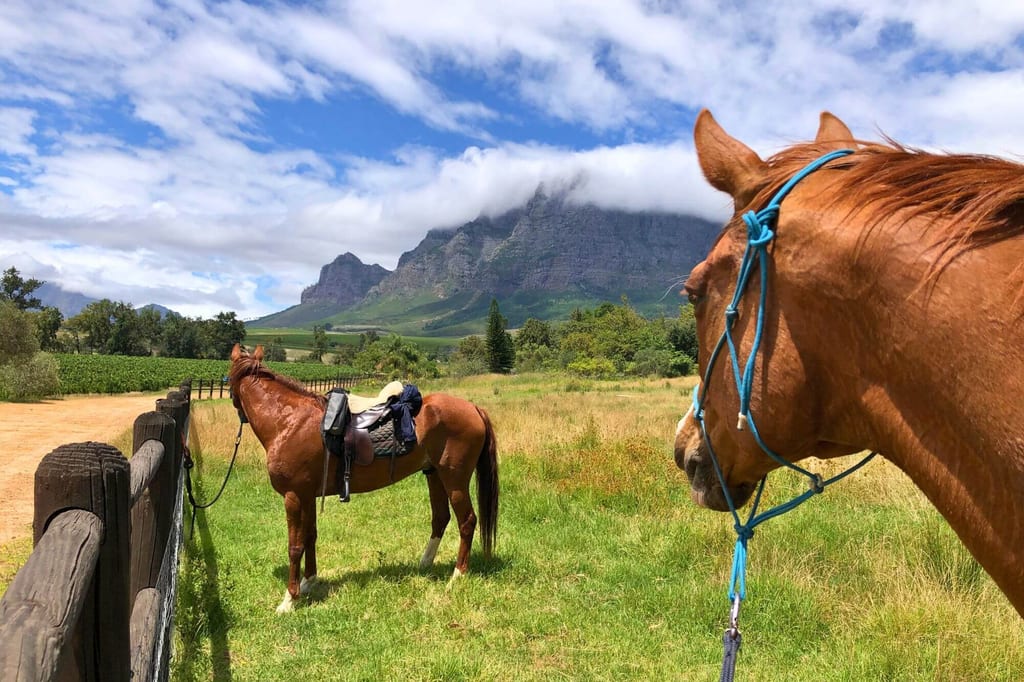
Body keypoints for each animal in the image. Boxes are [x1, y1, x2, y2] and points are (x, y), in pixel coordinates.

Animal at [228, 343, 499, 613]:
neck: (289, 421)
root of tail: (474, 408)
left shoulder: (293, 497)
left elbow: (295, 546)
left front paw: (289, 600)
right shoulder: (308, 495)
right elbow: (310, 536)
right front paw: (308, 582)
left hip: (455, 480)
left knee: (467, 521)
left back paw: (457, 575)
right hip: (435, 475)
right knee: (441, 518)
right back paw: (425, 562)